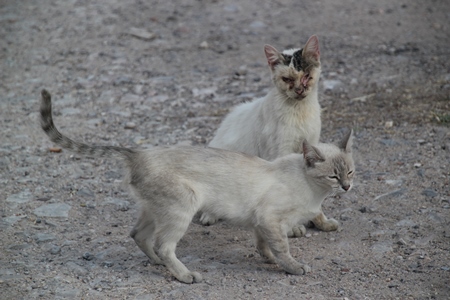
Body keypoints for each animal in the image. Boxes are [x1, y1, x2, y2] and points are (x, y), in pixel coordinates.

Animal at [39, 89, 356, 284]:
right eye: (333, 176)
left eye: (351, 172)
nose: (347, 187)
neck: (314, 194)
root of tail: (138, 153)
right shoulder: (271, 219)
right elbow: (283, 248)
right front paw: (292, 267)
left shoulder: (261, 221)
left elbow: (264, 246)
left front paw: (267, 260)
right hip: (182, 208)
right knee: (164, 245)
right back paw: (184, 275)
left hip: (155, 210)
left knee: (139, 235)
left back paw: (158, 263)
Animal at [204, 35, 334, 234]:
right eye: (287, 79)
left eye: (306, 76)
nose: (299, 90)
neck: (299, 112)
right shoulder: (281, 153)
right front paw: (293, 227)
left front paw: (320, 221)